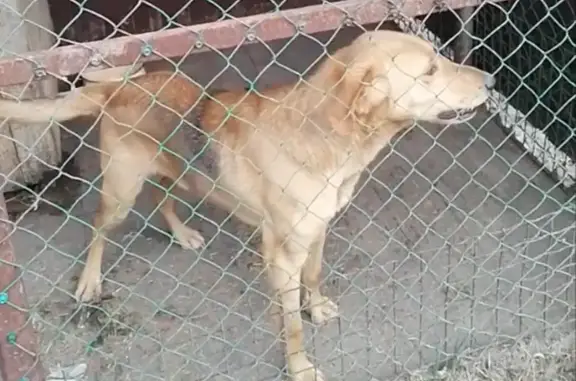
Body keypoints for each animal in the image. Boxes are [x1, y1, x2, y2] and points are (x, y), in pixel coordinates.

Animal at [0, 30, 496, 380]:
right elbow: (291, 326)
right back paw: (90, 281)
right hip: (122, 190)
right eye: (430, 70)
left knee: (162, 197)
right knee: (100, 225)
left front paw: (317, 307)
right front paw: (299, 367)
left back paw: (182, 234)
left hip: (182, 172)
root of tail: (120, 88)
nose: (492, 80)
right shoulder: (282, 255)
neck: (329, 138)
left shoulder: (317, 229)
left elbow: (315, 276)